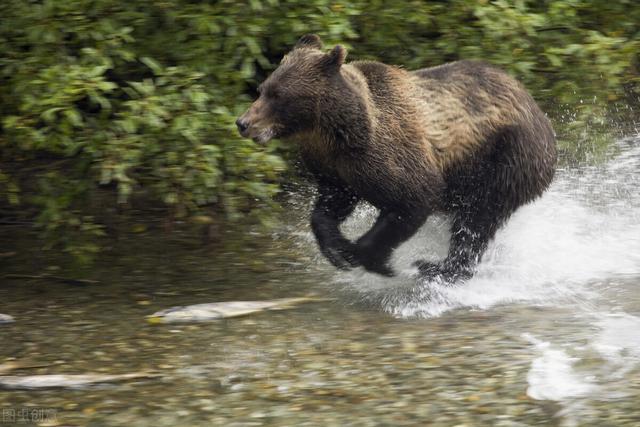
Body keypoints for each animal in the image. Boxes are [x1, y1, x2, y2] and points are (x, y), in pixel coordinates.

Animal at [235, 33, 556, 280]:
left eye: (278, 95)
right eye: (262, 89)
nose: (243, 123)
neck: (335, 132)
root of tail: (536, 108)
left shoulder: (389, 155)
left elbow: (412, 199)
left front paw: (364, 256)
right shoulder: (334, 167)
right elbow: (329, 206)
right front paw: (336, 247)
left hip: (504, 160)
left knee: (477, 220)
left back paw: (439, 268)